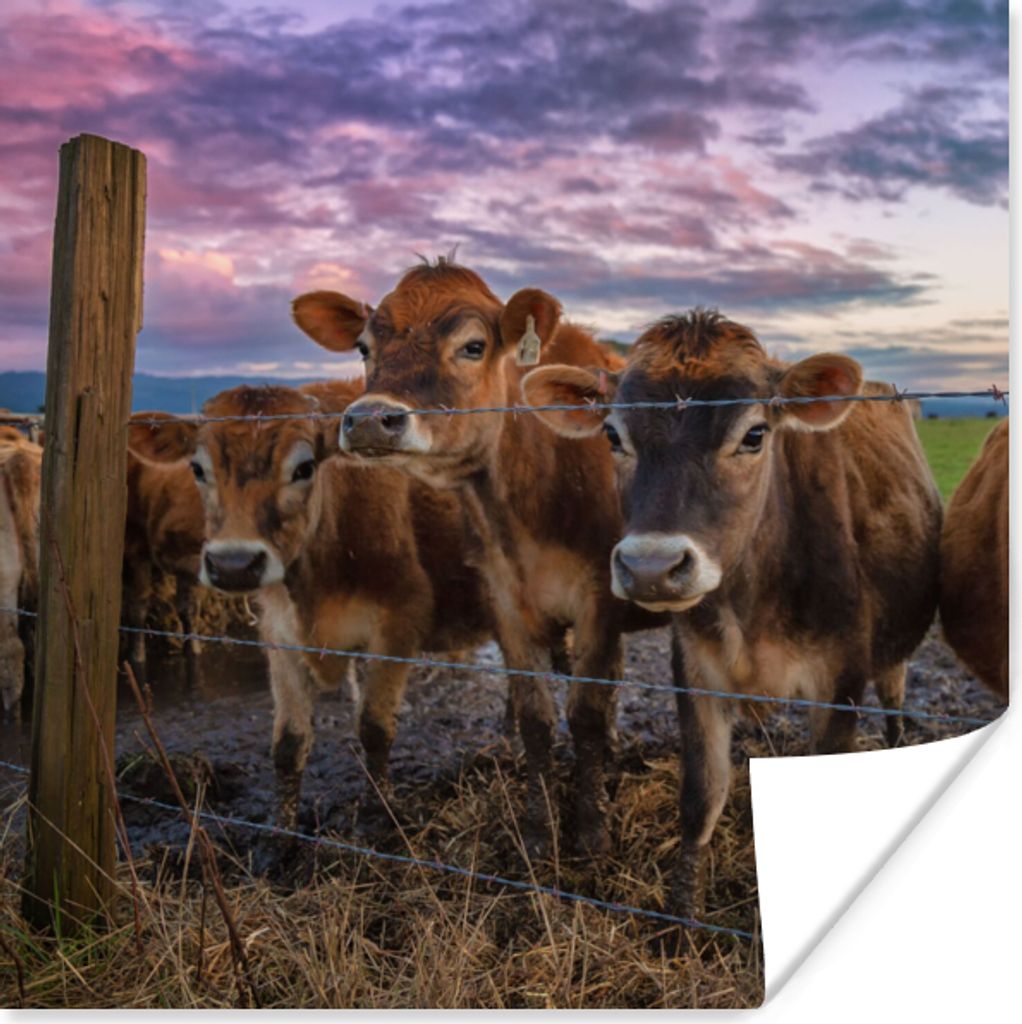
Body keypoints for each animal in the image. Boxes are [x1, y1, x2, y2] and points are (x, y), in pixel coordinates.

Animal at [132, 379, 500, 828]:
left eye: (304, 468)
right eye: (198, 469)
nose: (234, 565)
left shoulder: (399, 619)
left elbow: (375, 727)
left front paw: (382, 813)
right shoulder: (278, 631)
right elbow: (288, 743)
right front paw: (283, 830)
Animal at [291, 260, 665, 858]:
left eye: (472, 346)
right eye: (364, 347)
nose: (370, 420)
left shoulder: (600, 599)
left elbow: (583, 714)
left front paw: (590, 832)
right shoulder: (504, 599)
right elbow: (536, 719)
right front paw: (537, 831)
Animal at [521, 309, 942, 916]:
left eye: (754, 434)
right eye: (612, 435)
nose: (651, 566)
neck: (753, 605)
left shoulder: (840, 681)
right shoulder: (696, 672)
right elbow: (701, 797)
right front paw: (681, 917)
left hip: (891, 653)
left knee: (895, 702)